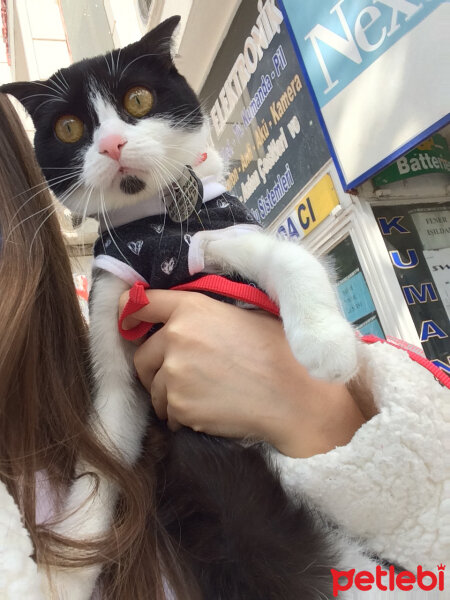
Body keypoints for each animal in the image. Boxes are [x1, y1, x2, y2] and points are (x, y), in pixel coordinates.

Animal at [1, 17, 378, 600]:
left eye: (138, 98)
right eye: (68, 128)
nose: (111, 143)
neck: (152, 229)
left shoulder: (219, 232)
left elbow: (290, 258)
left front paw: (327, 345)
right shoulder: (112, 292)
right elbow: (106, 438)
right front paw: (63, 574)